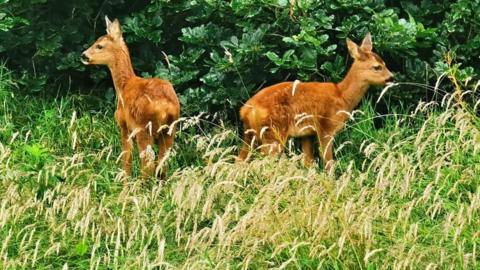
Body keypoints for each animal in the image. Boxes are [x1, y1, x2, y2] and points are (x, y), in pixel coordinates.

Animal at [82, 15, 180, 182]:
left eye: (99, 46)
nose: (84, 55)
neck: (124, 86)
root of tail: (166, 106)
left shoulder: (123, 125)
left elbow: (126, 159)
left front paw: (124, 183)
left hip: (144, 128)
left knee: (148, 163)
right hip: (170, 129)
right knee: (162, 163)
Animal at [239, 33, 394, 169]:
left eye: (385, 63)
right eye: (377, 67)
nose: (392, 77)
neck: (342, 96)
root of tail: (245, 110)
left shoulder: (307, 134)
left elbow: (308, 162)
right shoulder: (326, 126)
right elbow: (328, 161)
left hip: (250, 134)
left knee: (240, 160)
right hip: (273, 132)